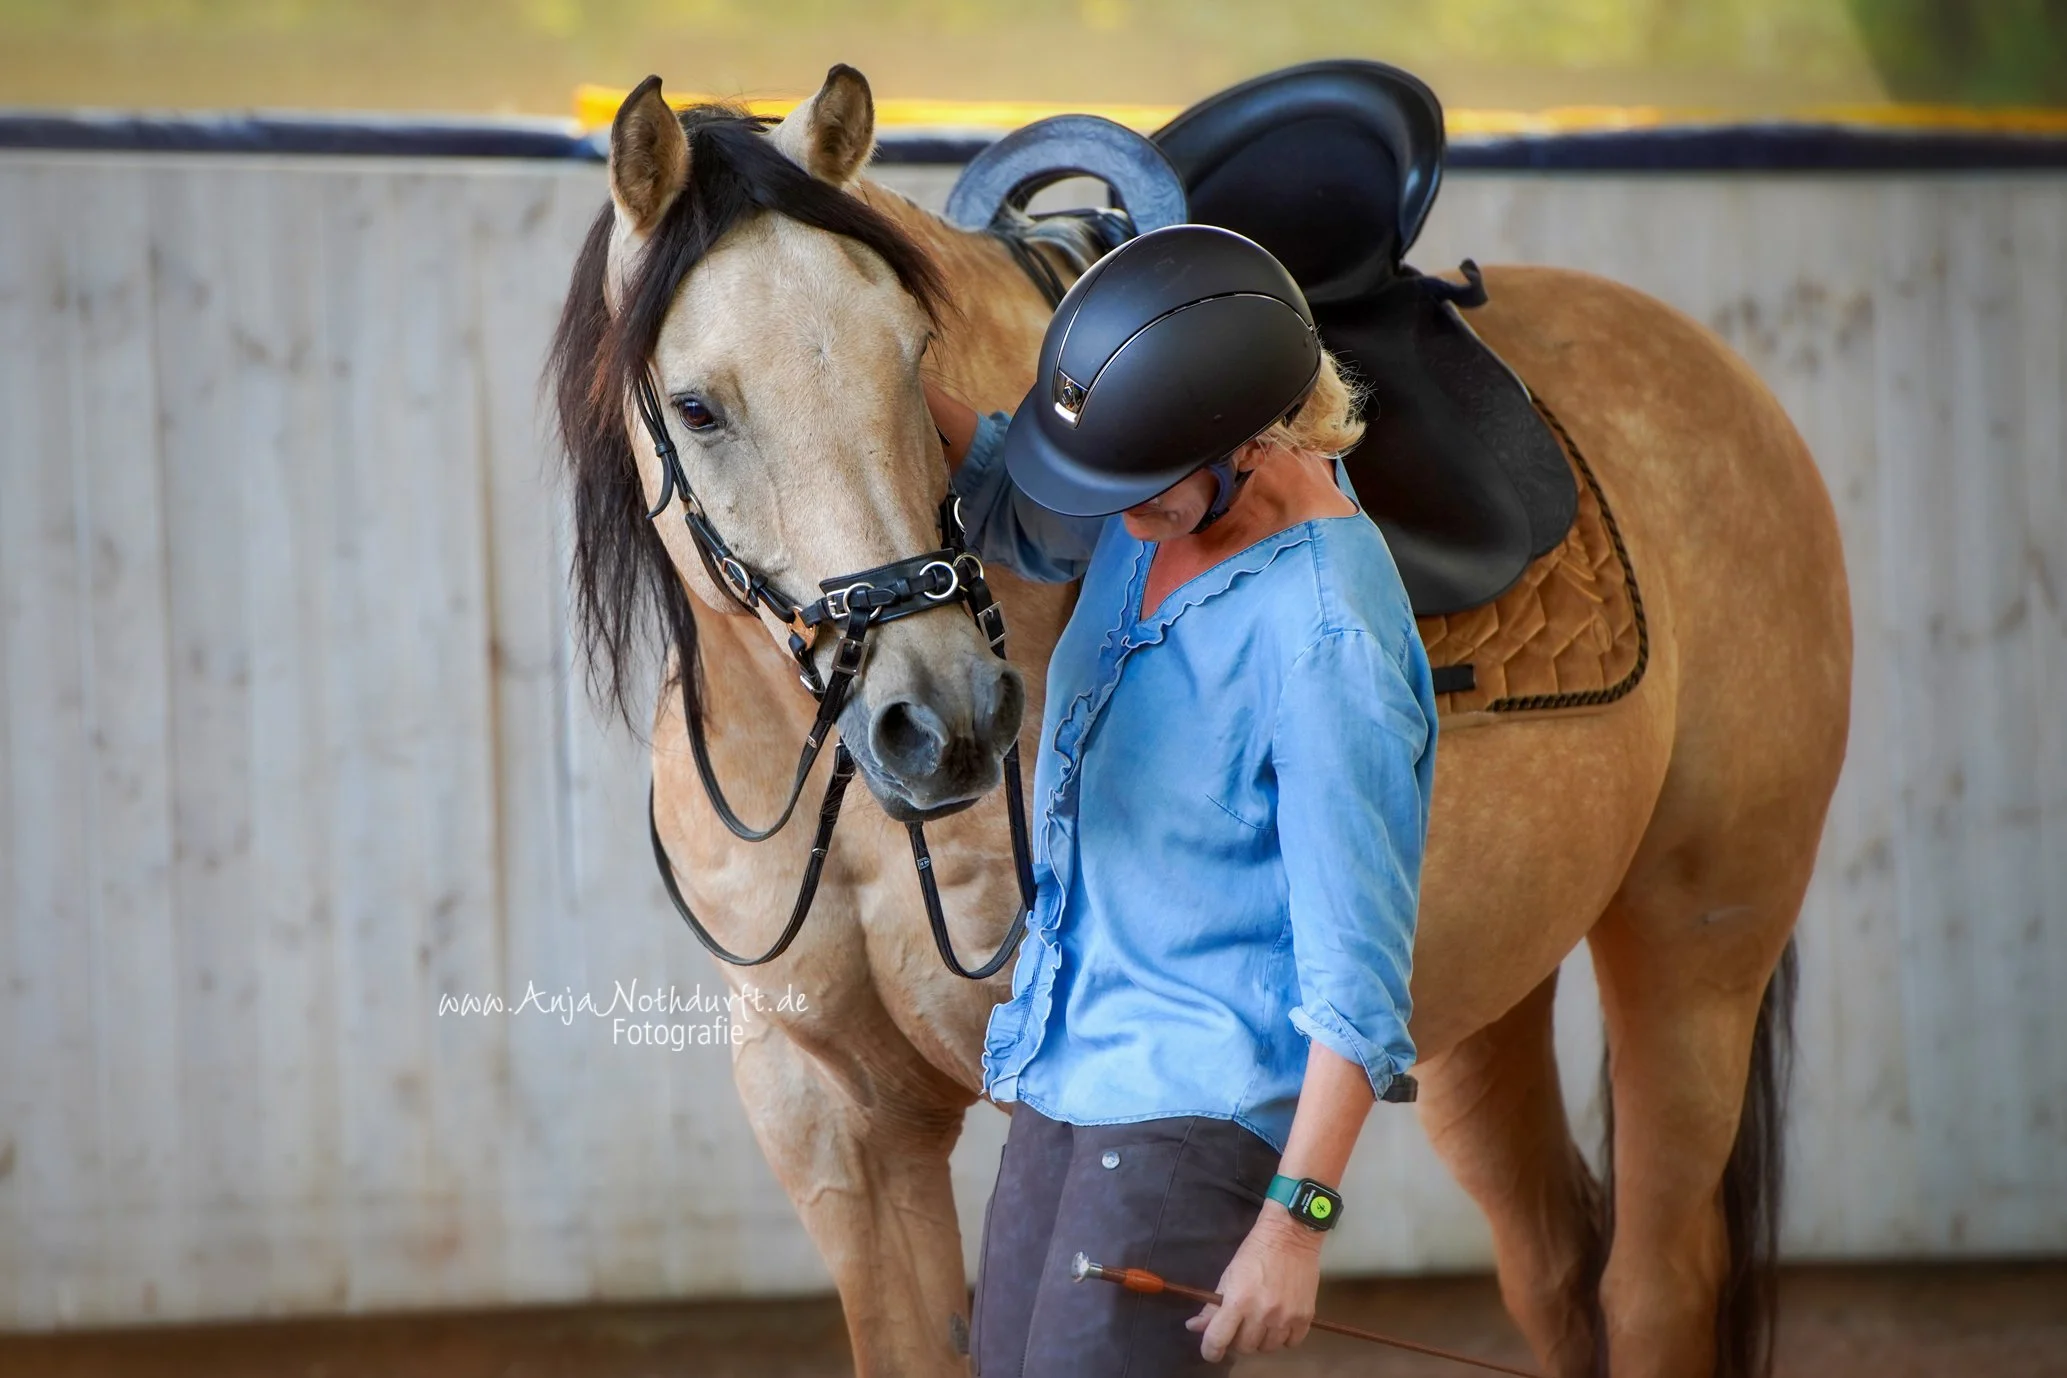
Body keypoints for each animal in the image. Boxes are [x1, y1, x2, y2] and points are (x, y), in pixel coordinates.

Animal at [545, 66, 1852, 1378]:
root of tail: (1726, 381)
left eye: (912, 359)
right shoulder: (837, 1122)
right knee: (1558, 1269)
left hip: (1696, 950)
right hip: (1486, 995)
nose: (945, 716)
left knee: (1654, 1285)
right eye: (699, 407)